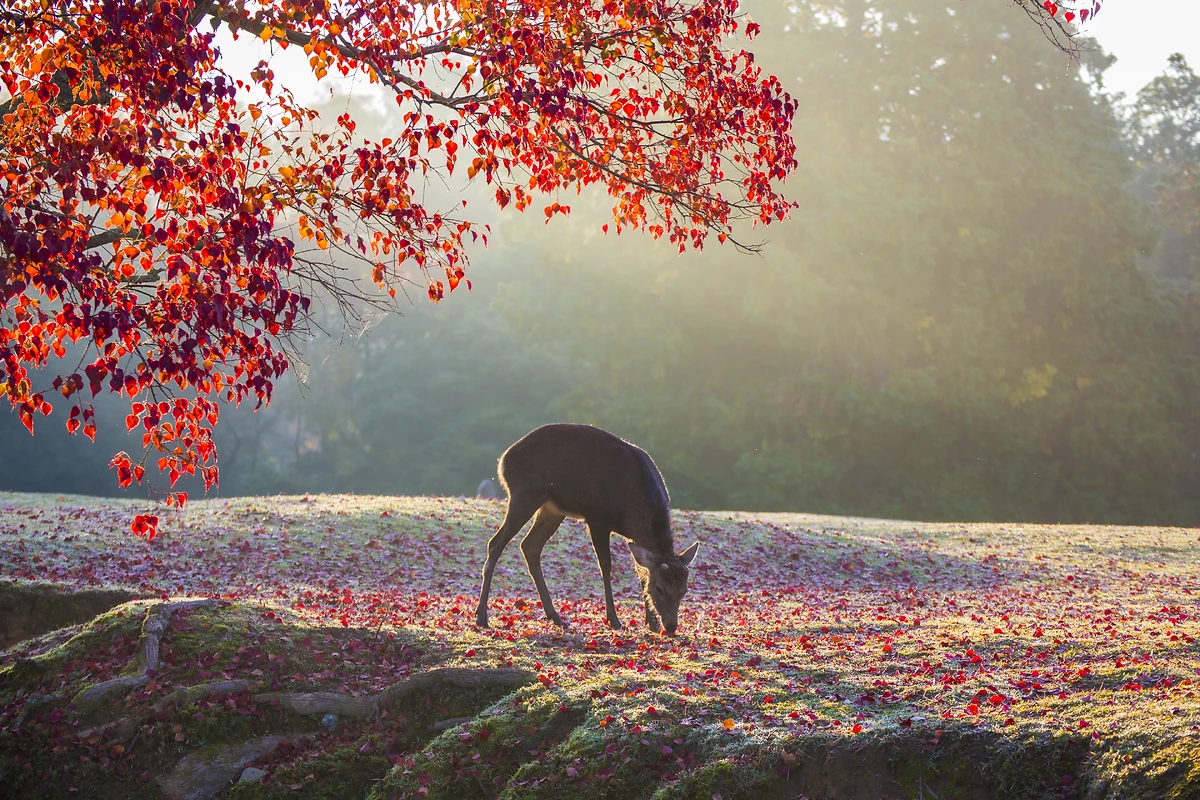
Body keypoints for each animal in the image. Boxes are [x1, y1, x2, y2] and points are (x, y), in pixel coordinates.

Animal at [474, 423, 700, 635]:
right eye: (659, 588)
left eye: (684, 590)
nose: (671, 626)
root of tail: (503, 461)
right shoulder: (597, 518)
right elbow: (606, 566)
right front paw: (613, 619)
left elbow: (641, 570)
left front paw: (651, 622)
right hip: (524, 494)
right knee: (495, 543)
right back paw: (482, 616)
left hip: (552, 508)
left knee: (529, 546)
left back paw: (555, 617)